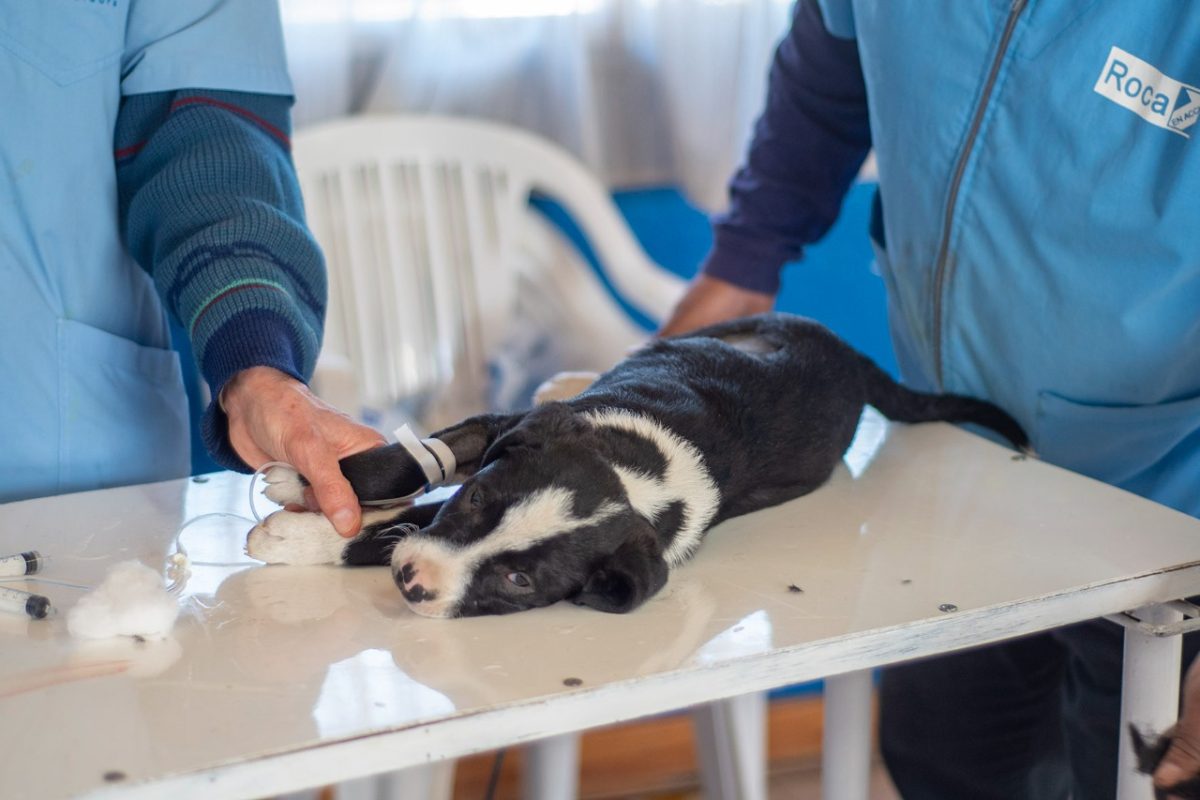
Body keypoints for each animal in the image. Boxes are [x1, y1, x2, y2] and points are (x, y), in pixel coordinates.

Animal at [248, 311, 1027, 618]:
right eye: (477, 503)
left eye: (520, 581)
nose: (414, 581)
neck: (636, 476)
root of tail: (851, 356)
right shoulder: (498, 433)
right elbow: (407, 469)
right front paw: (309, 483)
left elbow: (396, 525)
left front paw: (301, 537)